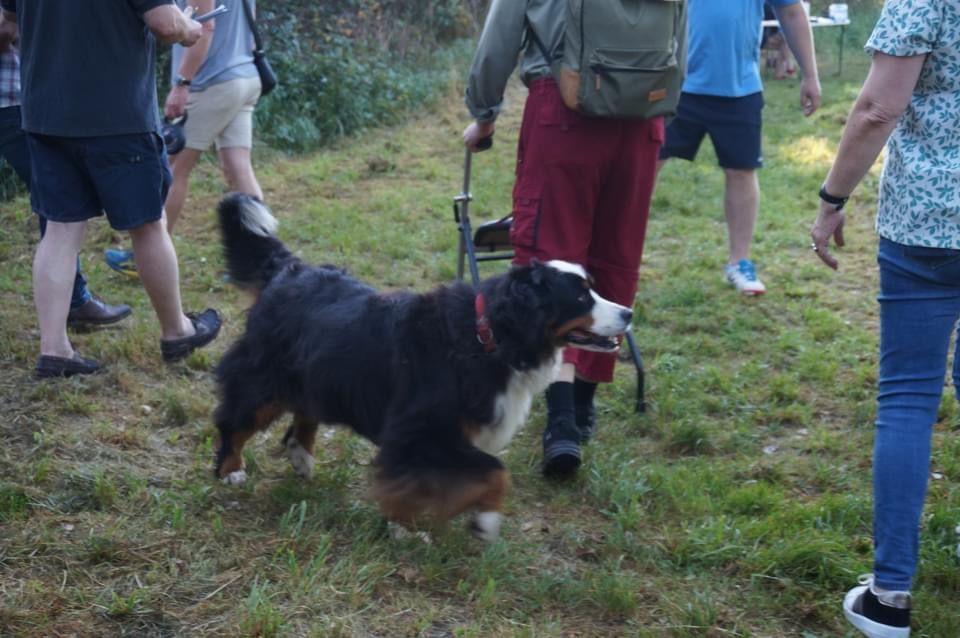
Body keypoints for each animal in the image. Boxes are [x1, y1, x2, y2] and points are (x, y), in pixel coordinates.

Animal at [212, 194, 632, 540]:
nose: (628, 313)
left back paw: (301, 456)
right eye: (581, 297)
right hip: (263, 376)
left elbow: (484, 472)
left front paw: (475, 517)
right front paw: (421, 526)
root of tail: (288, 269)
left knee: (304, 413)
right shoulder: (419, 430)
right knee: (235, 418)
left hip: (318, 373)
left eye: (592, 288)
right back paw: (231, 469)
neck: (487, 338)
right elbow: (491, 470)